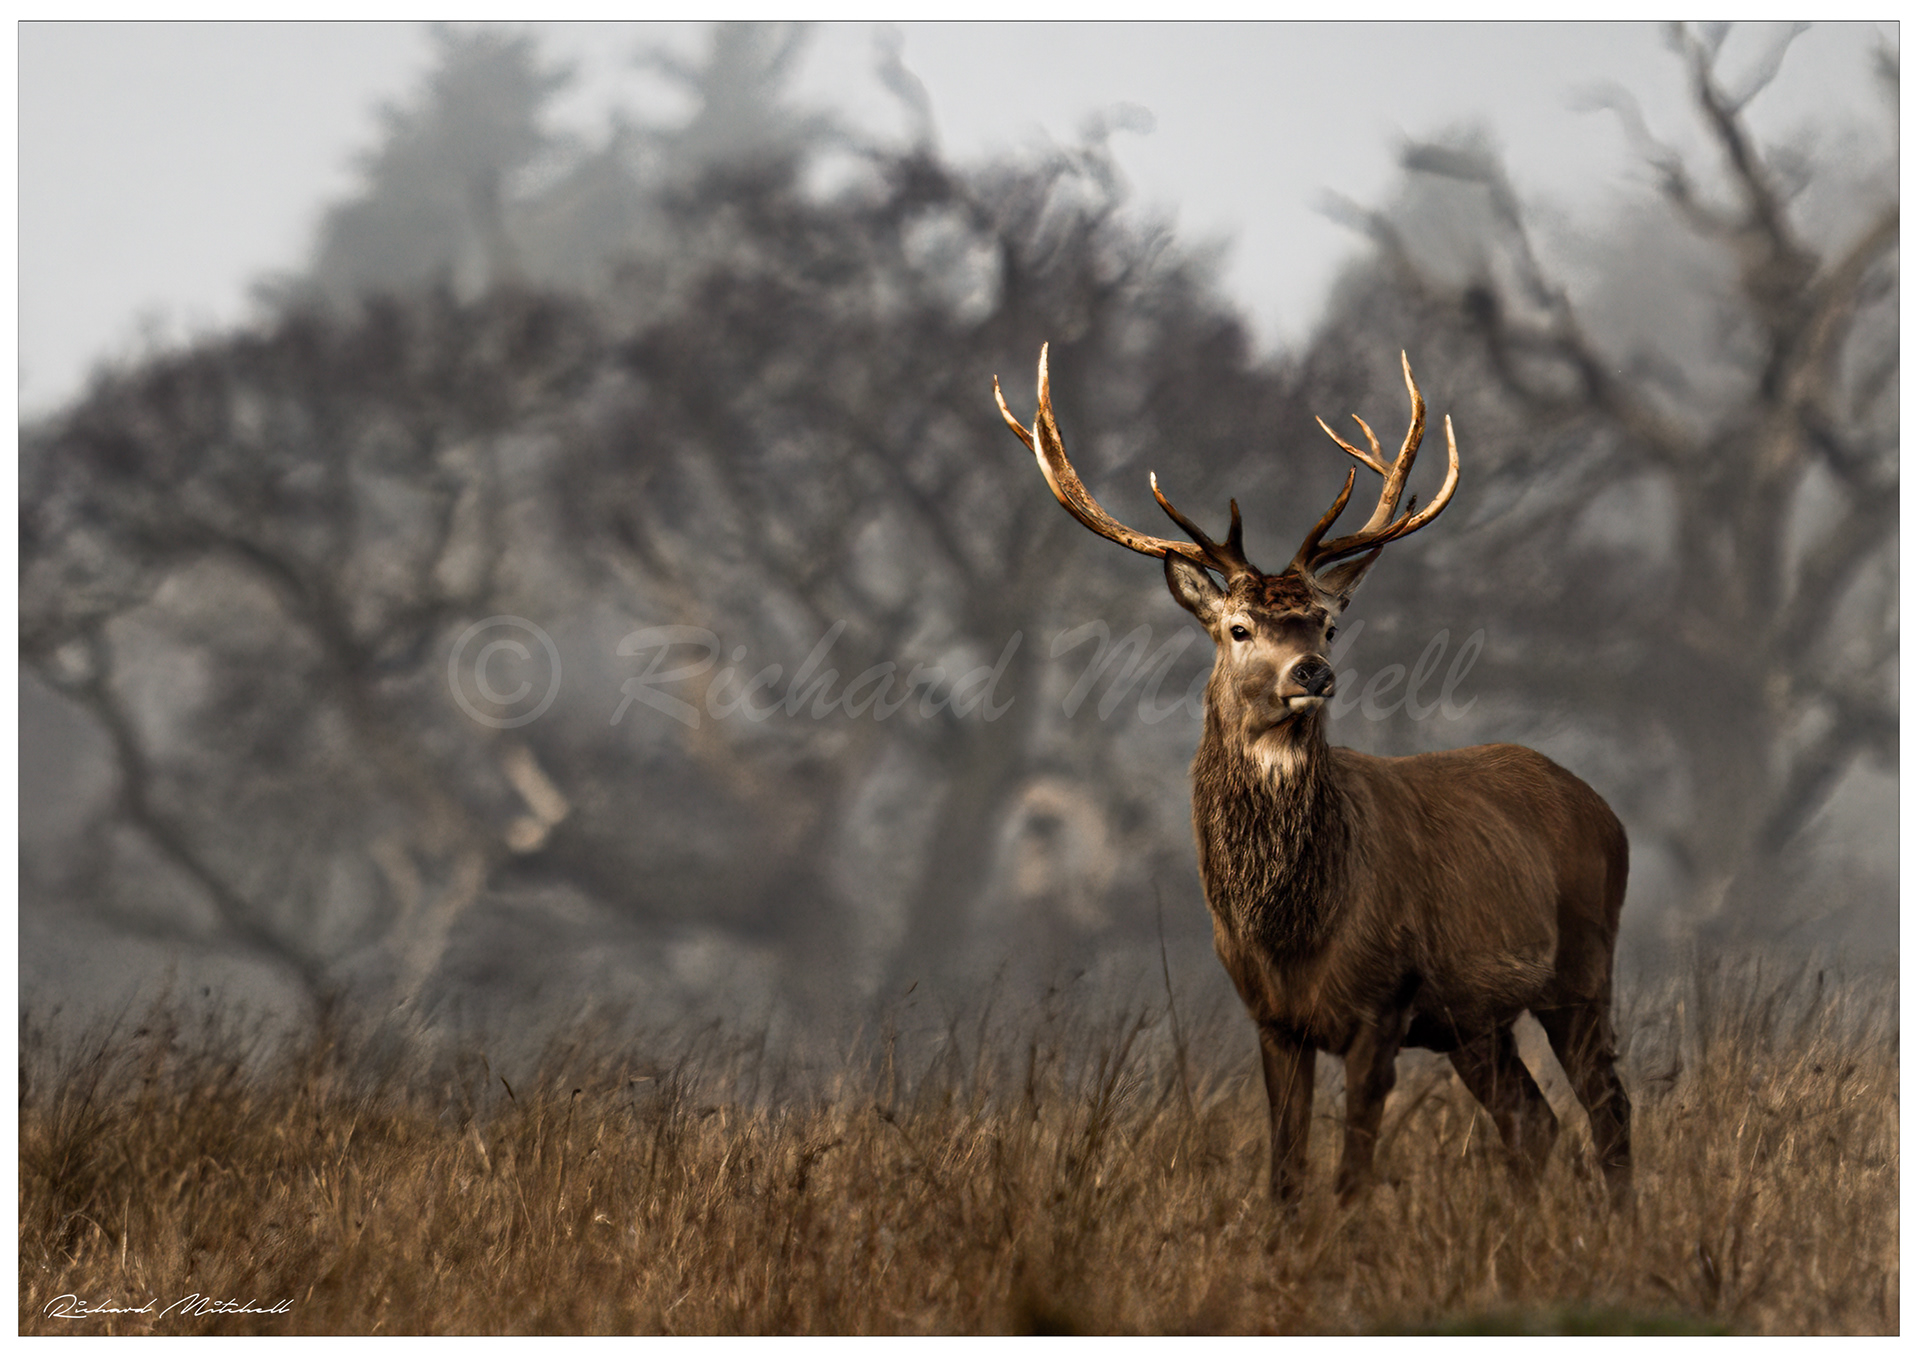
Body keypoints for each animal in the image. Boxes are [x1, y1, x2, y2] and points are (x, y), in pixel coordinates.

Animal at [994, 345, 1632, 1209]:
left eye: (1327, 622)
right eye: (1239, 627)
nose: (1313, 672)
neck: (1297, 924)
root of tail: (1605, 810)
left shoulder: (1383, 1001)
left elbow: (1352, 1176)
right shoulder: (1272, 1016)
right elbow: (1287, 1176)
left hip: (1583, 966)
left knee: (1609, 1110)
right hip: (1473, 1019)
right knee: (1535, 1120)